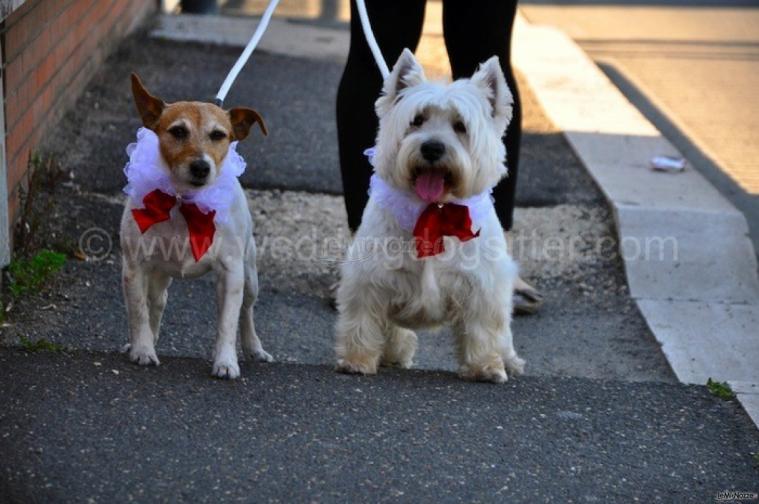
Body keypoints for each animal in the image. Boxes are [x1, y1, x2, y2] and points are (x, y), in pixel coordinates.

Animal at [119, 73, 274, 376]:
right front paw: (142, 350)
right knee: (156, 304)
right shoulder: (134, 267)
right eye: (178, 131)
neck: (184, 201)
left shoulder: (231, 273)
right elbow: (139, 313)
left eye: (218, 135)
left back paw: (254, 347)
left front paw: (226, 362)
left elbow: (227, 323)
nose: (201, 167)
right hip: (157, 276)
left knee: (246, 312)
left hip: (249, 277)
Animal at [336, 50, 524, 382]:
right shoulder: (369, 278)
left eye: (461, 126)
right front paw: (357, 360)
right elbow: (362, 319)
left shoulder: (484, 284)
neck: (435, 210)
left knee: (503, 335)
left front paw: (485, 366)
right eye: (417, 120)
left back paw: (509, 361)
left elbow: (484, 328)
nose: (432, 148)